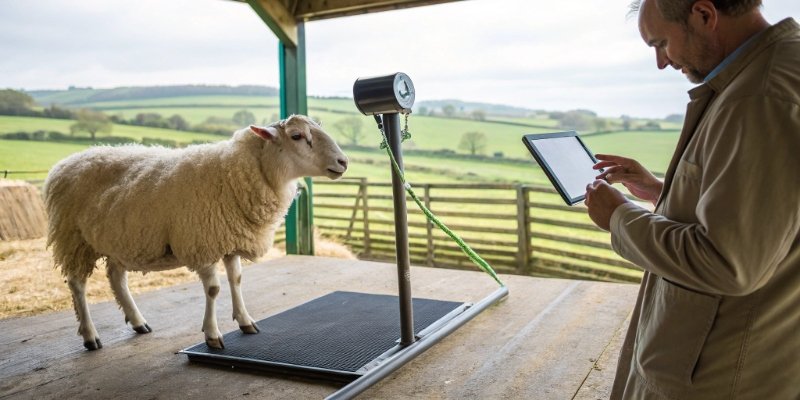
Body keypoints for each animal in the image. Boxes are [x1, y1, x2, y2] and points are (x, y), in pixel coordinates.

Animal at [43, 115, 348, 350]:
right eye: (297, 136)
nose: (343, 162)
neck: (236, 174)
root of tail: (65, 163)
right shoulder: (202, 243)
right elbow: (213, 289)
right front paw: (212, 335)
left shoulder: (229, 240)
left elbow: (237, 280)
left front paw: (246, 321)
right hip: (74, 239)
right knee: (77, 284)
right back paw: (90, 336)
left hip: (121, 239)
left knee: (116, 278)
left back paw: (139, 322)